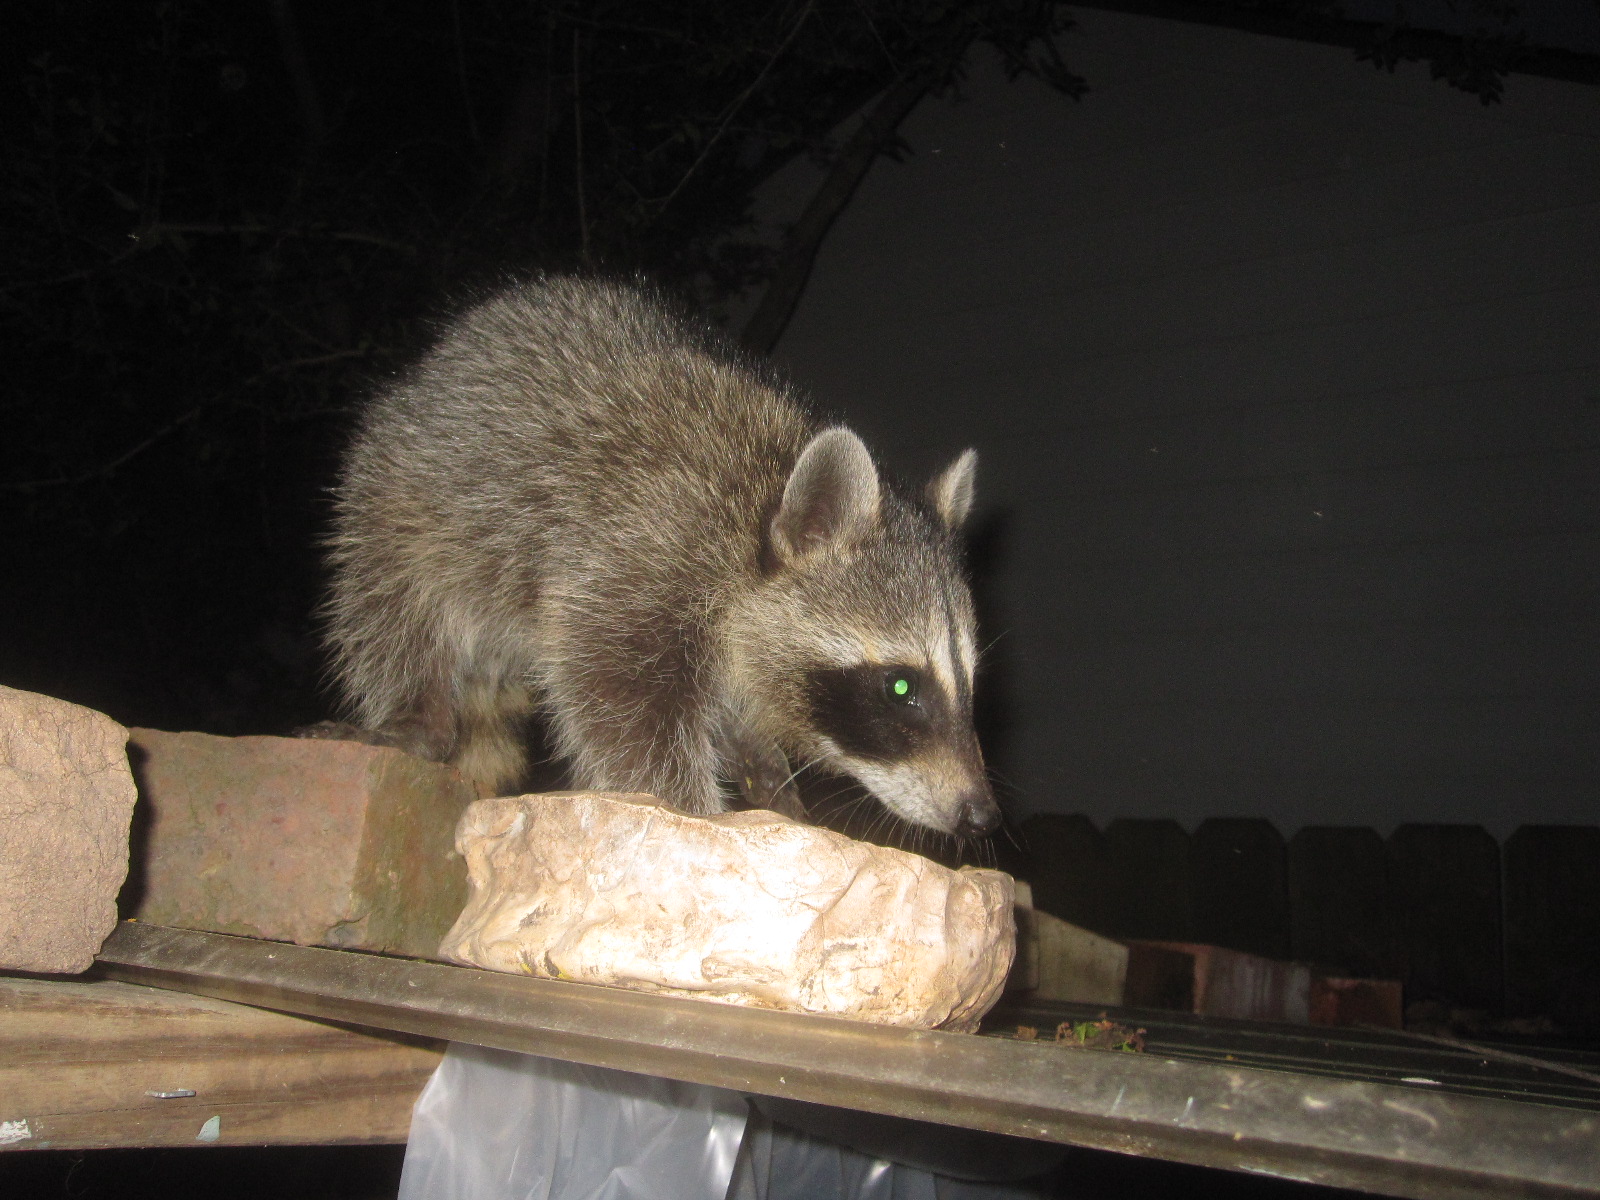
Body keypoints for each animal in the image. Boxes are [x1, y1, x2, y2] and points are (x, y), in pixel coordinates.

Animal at [323, 277, 998, 837]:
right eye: (901, 686)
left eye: (969, 685)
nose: (981, 815)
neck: (761, 508)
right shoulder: (645, 549)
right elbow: (620, 700)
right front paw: (687, 809)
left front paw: (763, 767)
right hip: (400, 499)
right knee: (394, 606)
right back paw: (417, 715)